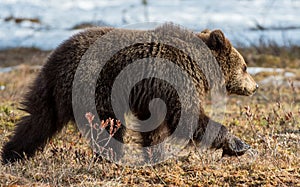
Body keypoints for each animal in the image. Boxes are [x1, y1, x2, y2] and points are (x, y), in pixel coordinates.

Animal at [0, 23, 258, 164]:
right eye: (245, 67)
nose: (255, 86)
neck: (198, 67)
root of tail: (56, 57)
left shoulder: (154, 93)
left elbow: (155, 126)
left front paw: (155, 154)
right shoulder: (174, 79)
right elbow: (188, 117)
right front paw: (238, 144)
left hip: (49, 90)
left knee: (37, 121)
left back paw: (12, 153)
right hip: (96, 87)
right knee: (108, 126)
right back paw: (112, 157)